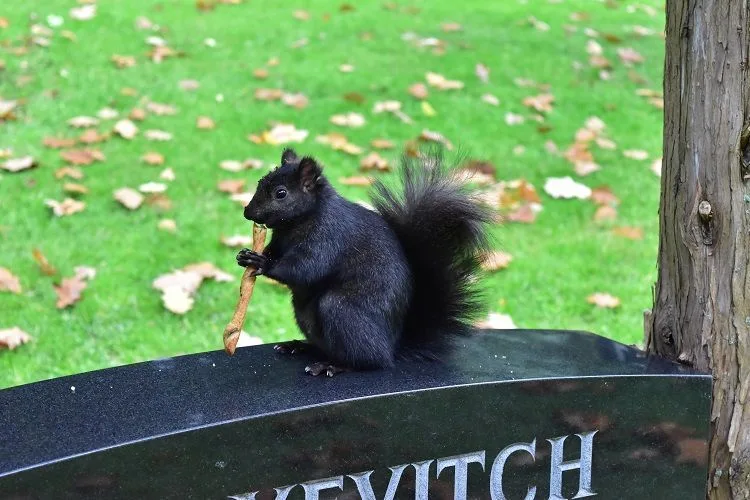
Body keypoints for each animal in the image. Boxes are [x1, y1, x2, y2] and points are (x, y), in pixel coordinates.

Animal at [237, 148, 491, 377]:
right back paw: (299, 346)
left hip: (343, 313)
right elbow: (275, 252)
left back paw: (332, 366)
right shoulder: (279, 240)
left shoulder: (327, 237)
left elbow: (305, 268)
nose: (248, 213)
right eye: (261, 181)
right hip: (304, 314)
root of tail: (392, 347)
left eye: (281, 193)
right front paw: (245, 255)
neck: (296, 223)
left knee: (369, 360)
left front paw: (261, 263)